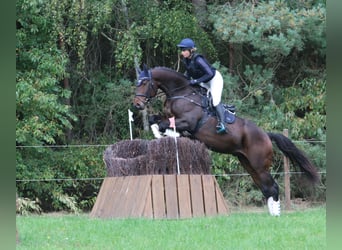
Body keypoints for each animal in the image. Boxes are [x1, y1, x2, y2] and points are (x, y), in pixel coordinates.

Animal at [132, 65, 320, 216]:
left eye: (144, 83)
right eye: (137, 82)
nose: (137, 104)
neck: (181, 93)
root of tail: (266, 134)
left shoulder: (188, 122)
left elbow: (163, 124)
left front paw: (163, 134)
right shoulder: (173, 119)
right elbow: (155, 119)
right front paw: (163, 133)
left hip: (259, 165)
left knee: (272, 187)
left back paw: (276, 215)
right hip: (248, 164)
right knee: (266, 188)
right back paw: (272, 213)